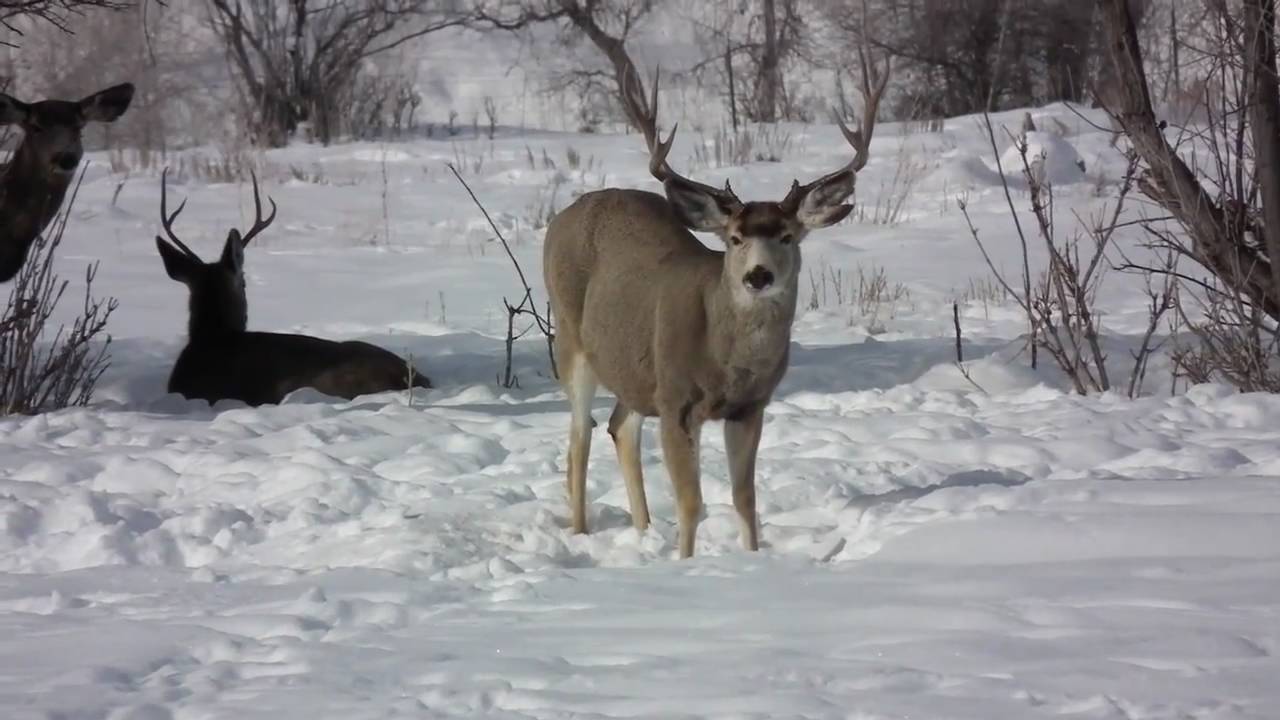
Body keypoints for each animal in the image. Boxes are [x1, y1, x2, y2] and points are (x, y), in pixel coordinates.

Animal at [543, 60, 888, 559]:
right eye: (736, 238)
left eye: (787, 236)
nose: (758, 276)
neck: (725, 360)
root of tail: (566, 214)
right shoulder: (676, 401)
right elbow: (692, 503)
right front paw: (687, 563)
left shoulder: (749, 407)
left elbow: (744, 498)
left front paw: (752, 558)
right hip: (570, 337)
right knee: (578, 437)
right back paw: (582, 533)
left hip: (633, 371)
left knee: (620, 427)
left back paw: (645, 532)